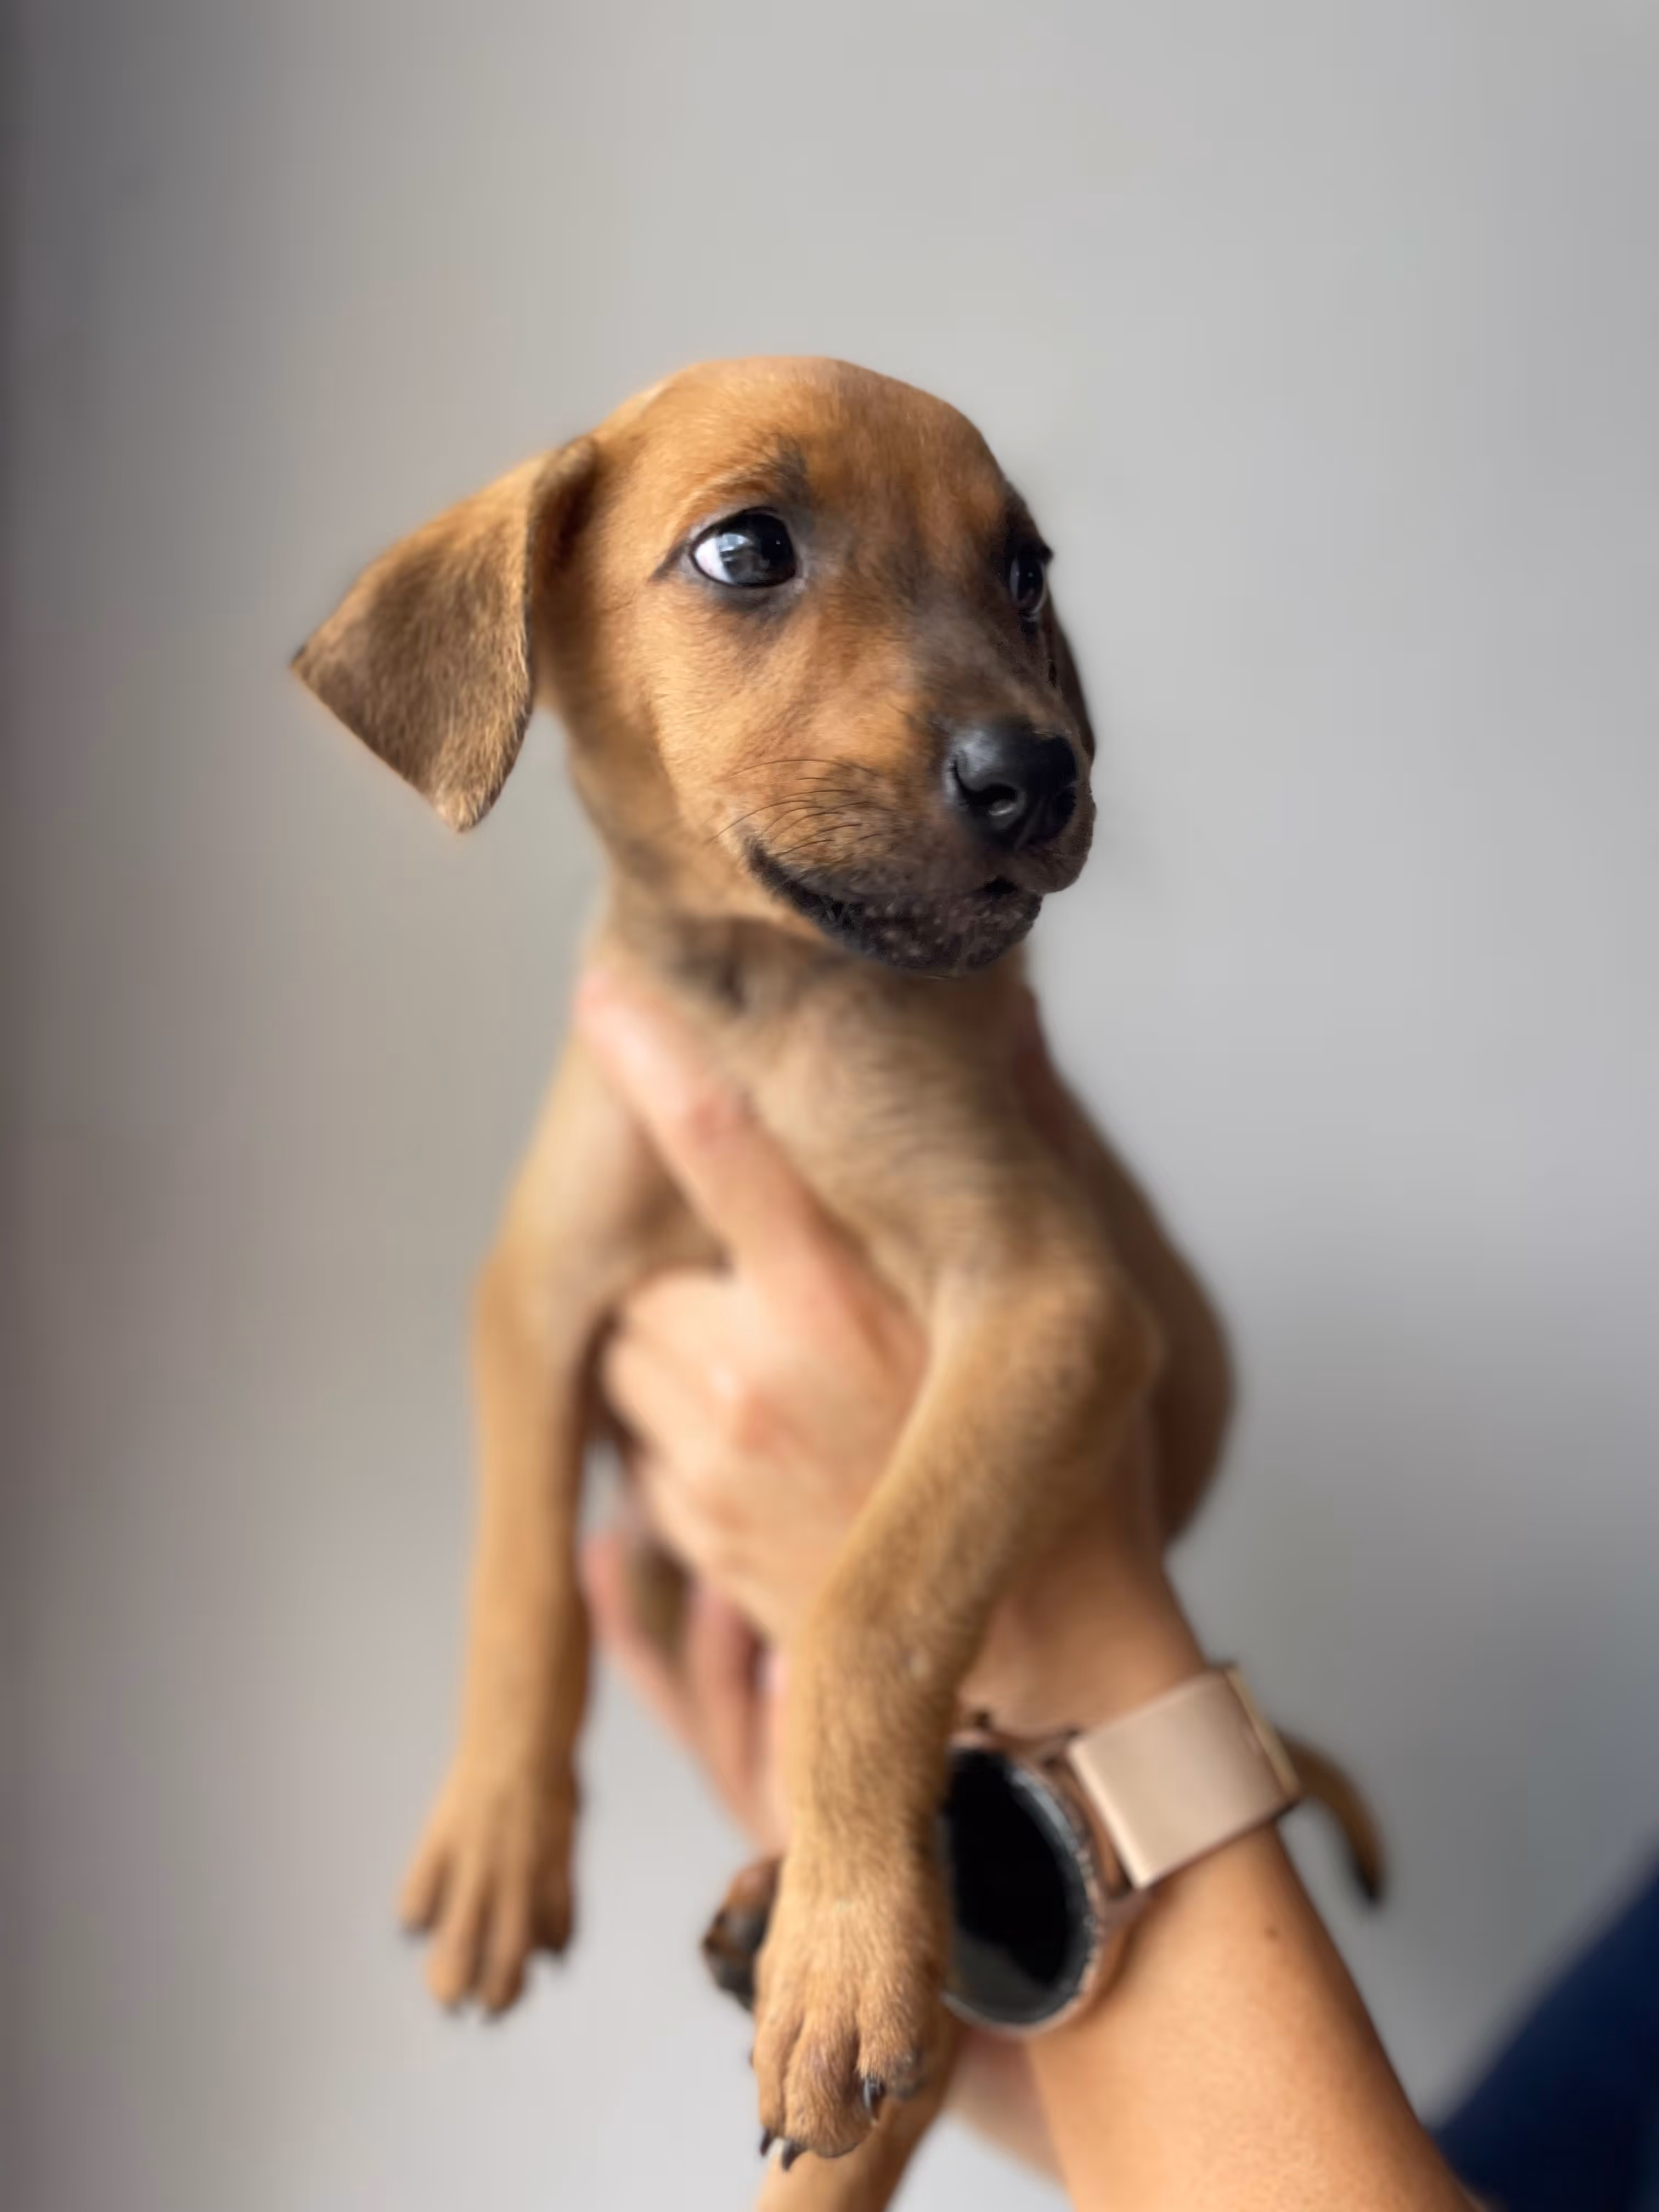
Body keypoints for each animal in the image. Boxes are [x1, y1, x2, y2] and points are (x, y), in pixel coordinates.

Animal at [295, 357, 1375, 2205]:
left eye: (1025, 572)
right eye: (746, 550)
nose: (1038, 771)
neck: (768, 997)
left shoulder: (1049, 1300)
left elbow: (875, 1610)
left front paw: (853, 1945)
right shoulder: (538, 1292)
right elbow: (518, 1573)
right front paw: (502, 1826)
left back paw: (809, 1927)